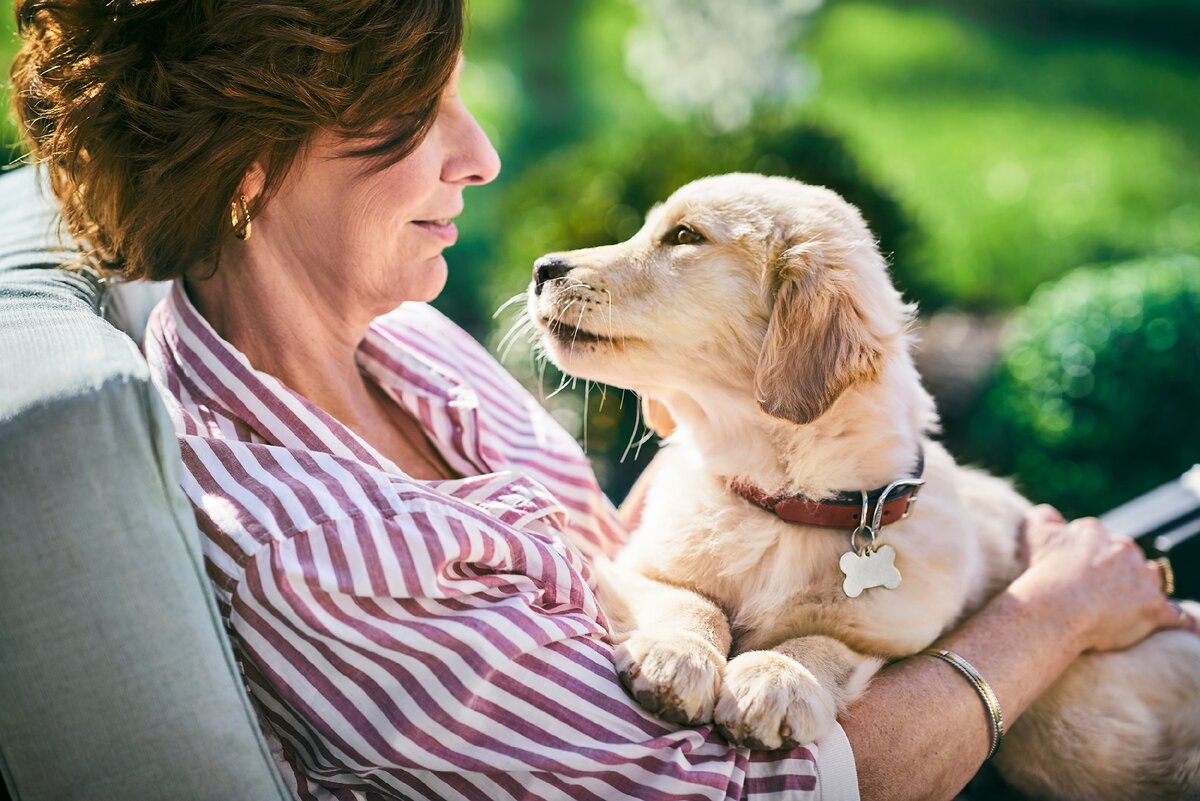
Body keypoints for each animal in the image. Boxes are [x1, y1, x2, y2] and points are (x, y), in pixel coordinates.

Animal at [528, 175, 1200, 801]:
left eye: (685, 236)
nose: (542, 269)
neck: (783, 503)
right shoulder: (632, 567)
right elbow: (688, 601)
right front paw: (676, 657)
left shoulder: (900, 632)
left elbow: (823, 639)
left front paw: (776, 677)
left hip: (1071, 718)